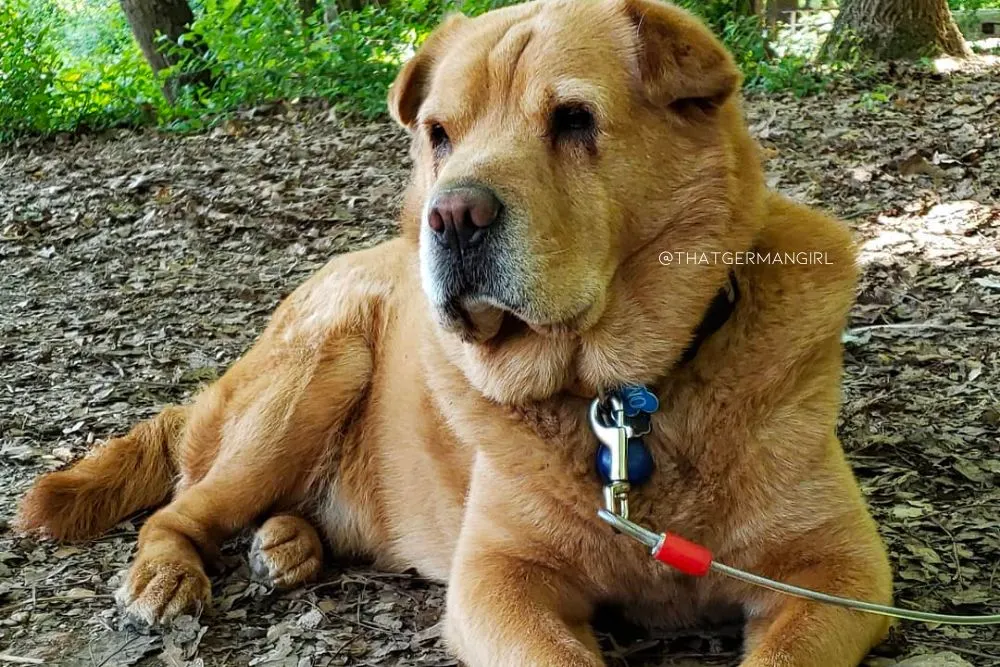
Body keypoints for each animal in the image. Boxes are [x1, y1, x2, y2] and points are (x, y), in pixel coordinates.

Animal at [13, 2, 892, 664]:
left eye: (574, 119)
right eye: (439, 133)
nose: (454, 215)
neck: (623, 397)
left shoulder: (840, 572)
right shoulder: (499, 578)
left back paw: (288, 542)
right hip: (319, 366)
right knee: (178, 510)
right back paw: (168, 574)